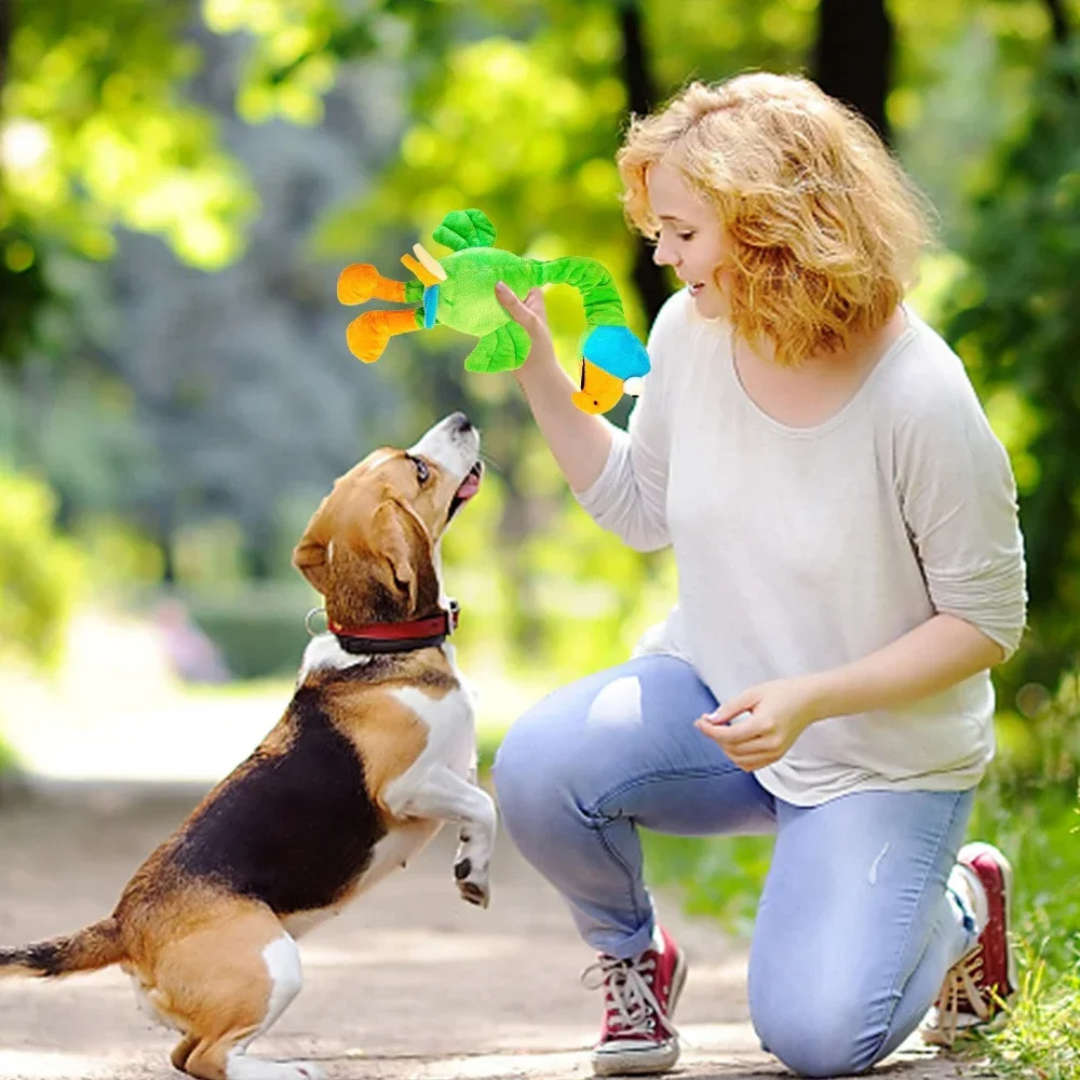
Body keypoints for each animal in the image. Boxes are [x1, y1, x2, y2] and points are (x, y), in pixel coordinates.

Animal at [0, 410, 494, 1080]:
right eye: (418, 469)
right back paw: (287, 1069)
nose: (462, 419)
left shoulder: (454, 772)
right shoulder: (407, 786)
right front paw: (476, 874)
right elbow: (484, 805)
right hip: (274, 964)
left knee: (184, 1054)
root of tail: (124, 924)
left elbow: (479, 806)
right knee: (206, 1058)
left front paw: (472, 865)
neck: (376, 646)